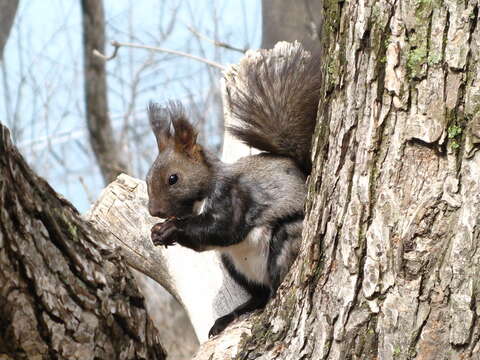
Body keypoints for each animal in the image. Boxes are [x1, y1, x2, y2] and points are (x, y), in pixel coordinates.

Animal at [145, 42, 318, 338]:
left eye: (173, 179)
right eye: (147, 179)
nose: (154, 211)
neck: (200, 201)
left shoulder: (236, 198)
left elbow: (223, 229)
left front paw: (172, 229)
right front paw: (158, 231)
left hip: (286, 240)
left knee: (275, 281)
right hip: (232, 265)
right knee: (258, 295)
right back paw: (232, 315)